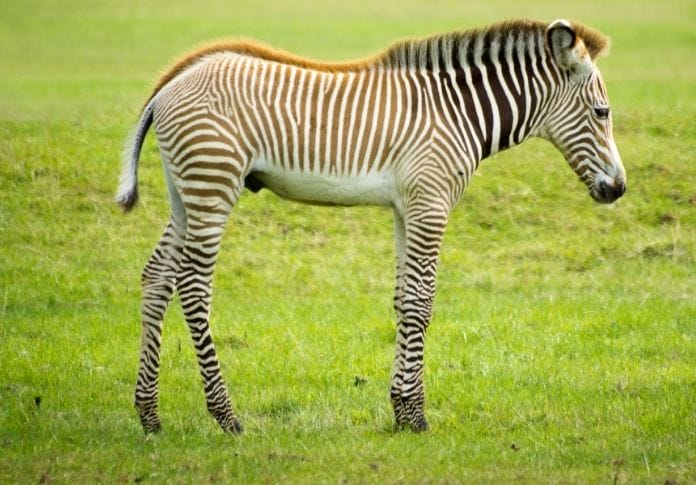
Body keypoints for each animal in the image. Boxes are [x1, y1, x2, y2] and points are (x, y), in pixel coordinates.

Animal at [117, 18, 626, 434]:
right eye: (602, 113)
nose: (618, 189)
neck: (457, 112)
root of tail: (172, 83)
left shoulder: (407, 206)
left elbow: (403, 301)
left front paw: (399, 408)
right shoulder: (431, 203)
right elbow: (422, 302)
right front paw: (416, 416)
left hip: (186, 192)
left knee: (157, 277)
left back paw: (150, 415)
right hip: (213, 183)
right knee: (193, 285)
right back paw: (226, 416)